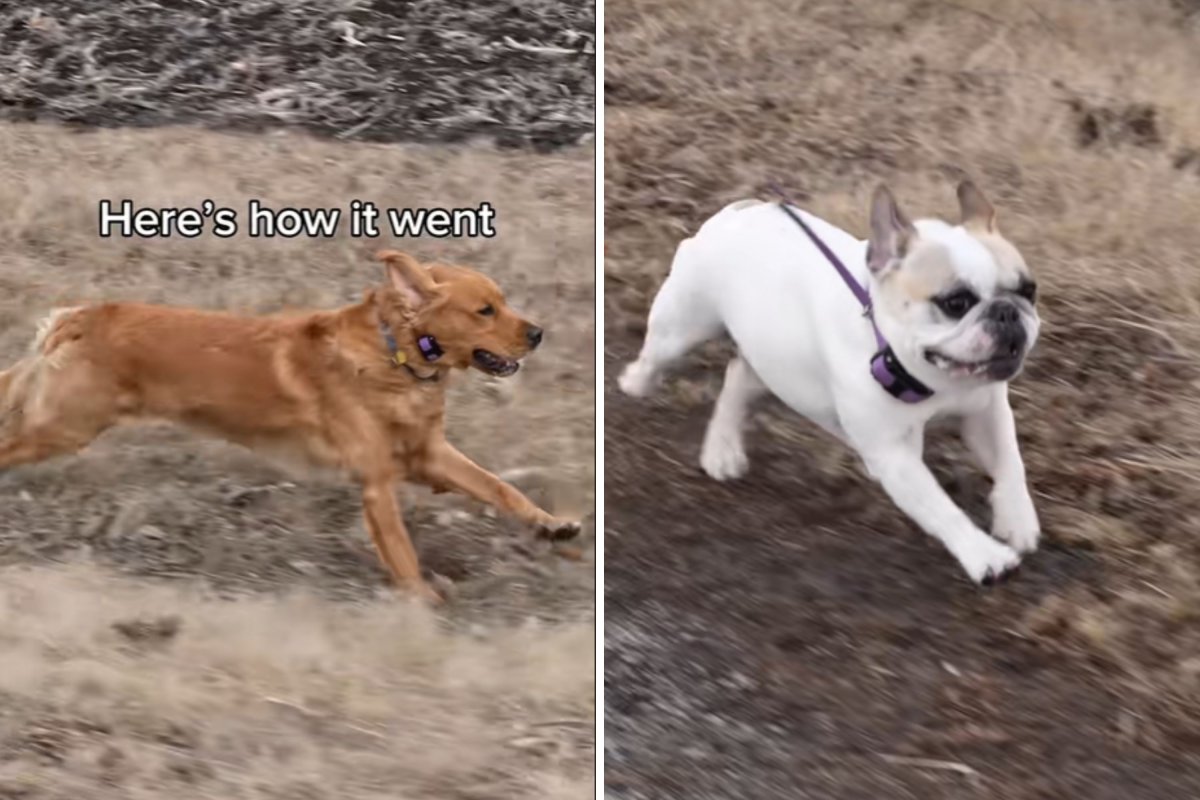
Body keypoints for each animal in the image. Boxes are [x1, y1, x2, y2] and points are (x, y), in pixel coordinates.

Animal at [0, 250, 580, 599]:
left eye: (503, 302)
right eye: (485, 311)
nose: (539, 333)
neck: (395, 355)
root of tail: (80, 315)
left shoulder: (429, 454)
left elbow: (499, 487)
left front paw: (552, 525)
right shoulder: (377, 482)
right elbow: (402, 548)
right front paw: (422, 600)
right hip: (63, 426)